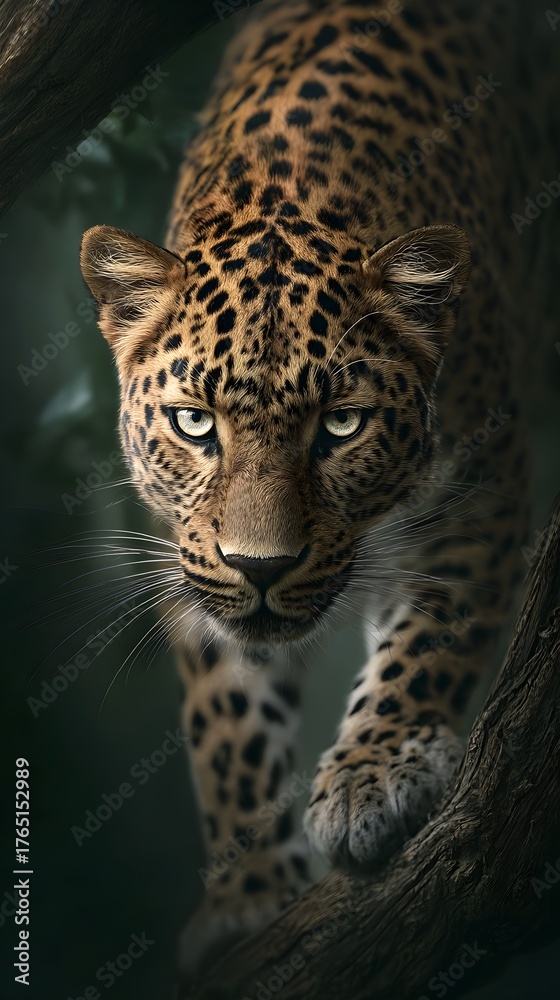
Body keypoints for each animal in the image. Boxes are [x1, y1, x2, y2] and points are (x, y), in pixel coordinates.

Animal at [79, 0, 555, 979]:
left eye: (341, 425)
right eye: (195, 424)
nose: (262, 568)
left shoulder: (482, 485)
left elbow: (429, 640)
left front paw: (376, 774)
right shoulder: (190, 552)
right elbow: (226, 716)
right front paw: (248, 890)